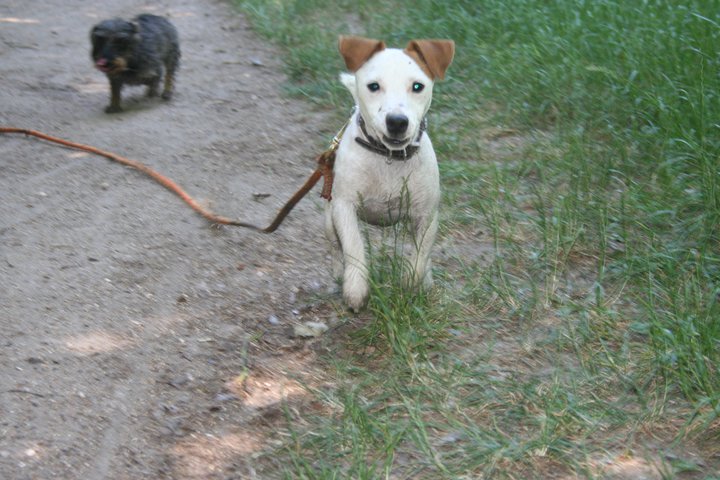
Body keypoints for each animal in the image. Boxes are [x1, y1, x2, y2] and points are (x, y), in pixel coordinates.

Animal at [326, 33, 456, 312]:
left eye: (418, 86)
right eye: (373, 86)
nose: (397, 121)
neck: (388, 157)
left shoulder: (427, 215)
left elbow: (419, 256)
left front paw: (411, 284)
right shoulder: (343, 206)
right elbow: (353, 246)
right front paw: (356, 288)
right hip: (328, 219)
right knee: (335, 247)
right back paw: (339, 272)